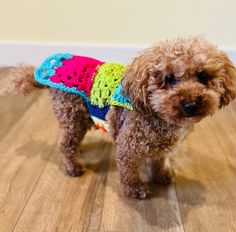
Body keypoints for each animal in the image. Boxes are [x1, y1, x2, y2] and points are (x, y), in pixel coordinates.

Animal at [7, 37, 236, 198]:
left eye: (203, 76)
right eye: (169, 79)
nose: (190, 105)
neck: (157, 115)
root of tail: (51, 69)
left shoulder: (158, 147)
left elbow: (157, 161)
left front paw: (161, 176)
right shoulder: (128, 147)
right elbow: (129, 172)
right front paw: (136, 190)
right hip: (73, 116)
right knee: (65, 144)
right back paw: (73, 167)